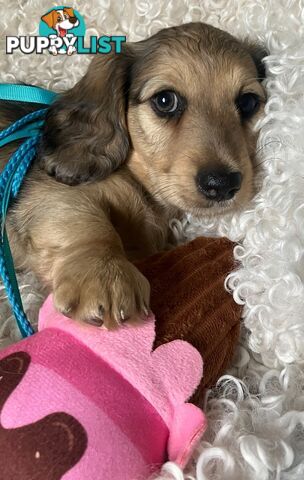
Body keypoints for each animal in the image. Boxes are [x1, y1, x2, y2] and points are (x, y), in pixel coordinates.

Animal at [0, 22, 266, 330]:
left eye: (247, 102)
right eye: (165, 100)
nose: (222, 185)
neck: (141, 184)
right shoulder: (47, 193)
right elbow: (84, 220)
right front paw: (104, 273)